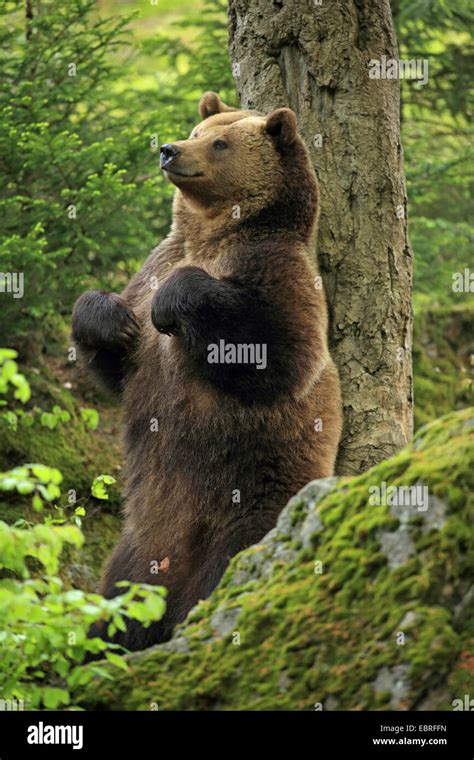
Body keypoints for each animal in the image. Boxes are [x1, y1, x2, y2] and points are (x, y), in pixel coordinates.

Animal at [72, 92, 342, 652]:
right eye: (198, 129)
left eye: (220, 143)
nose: (170, 150)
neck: (212, 232)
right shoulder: (151, 267)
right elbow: (116, 365)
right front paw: (111, 321)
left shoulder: (278, 271)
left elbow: (281, 354)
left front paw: (175, 303)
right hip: (138, 546)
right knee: (120, 599)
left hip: (256, 503)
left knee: (230, 568)